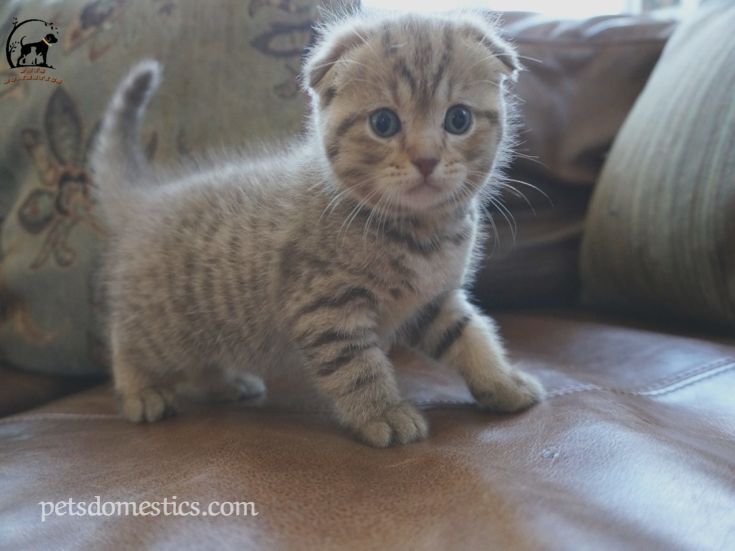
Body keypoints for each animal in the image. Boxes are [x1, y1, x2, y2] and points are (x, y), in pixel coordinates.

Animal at [89, 9, 544, 448]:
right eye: (383, 123)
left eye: (459, 119)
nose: (427, 159)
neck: (421, 232)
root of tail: (145, 200)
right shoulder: (325, 306)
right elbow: (357, 365)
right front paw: (382, 412)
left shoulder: (433, 299)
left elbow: (469, 335)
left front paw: (502, 381)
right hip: (162, 324)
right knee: (125, 342)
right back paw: (140, 391)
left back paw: (224, 384)